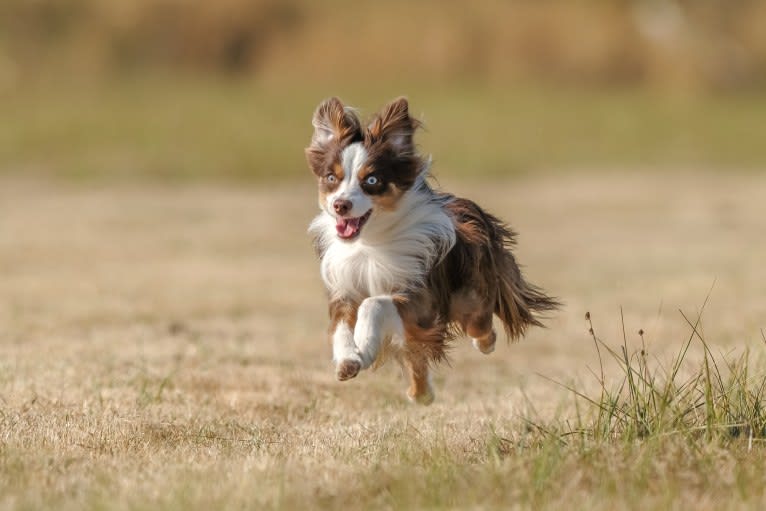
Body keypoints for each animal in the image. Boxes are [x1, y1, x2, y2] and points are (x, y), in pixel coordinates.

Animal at [304, 98, 560, 406]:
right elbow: (341, 327)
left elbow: (373, 303)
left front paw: (364, 348)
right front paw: (349, 360)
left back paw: (484, 343)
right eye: (331, 177)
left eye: (372, 181)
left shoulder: (420, 298)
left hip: (469, 295)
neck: (371, 242)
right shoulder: (344, 290)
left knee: (478, 324)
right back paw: (421, 394)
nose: (340, 205)